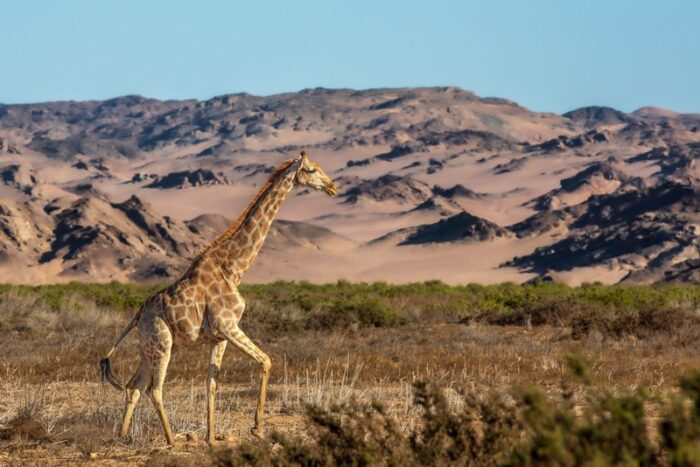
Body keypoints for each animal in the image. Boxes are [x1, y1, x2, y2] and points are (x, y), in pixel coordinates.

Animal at [100, 151, 338, 446]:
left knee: (134, 386)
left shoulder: (219, 336)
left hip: (147, 347)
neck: (233, 269)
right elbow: (266, 361)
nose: (332, 187)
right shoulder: (228, 325)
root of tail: (137, 315)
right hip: (163, 343)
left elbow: (211, 383)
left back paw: (122, 437)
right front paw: (257, 429)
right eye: (312, 169)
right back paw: (171, 440)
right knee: (154, 389)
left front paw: (212, 438)